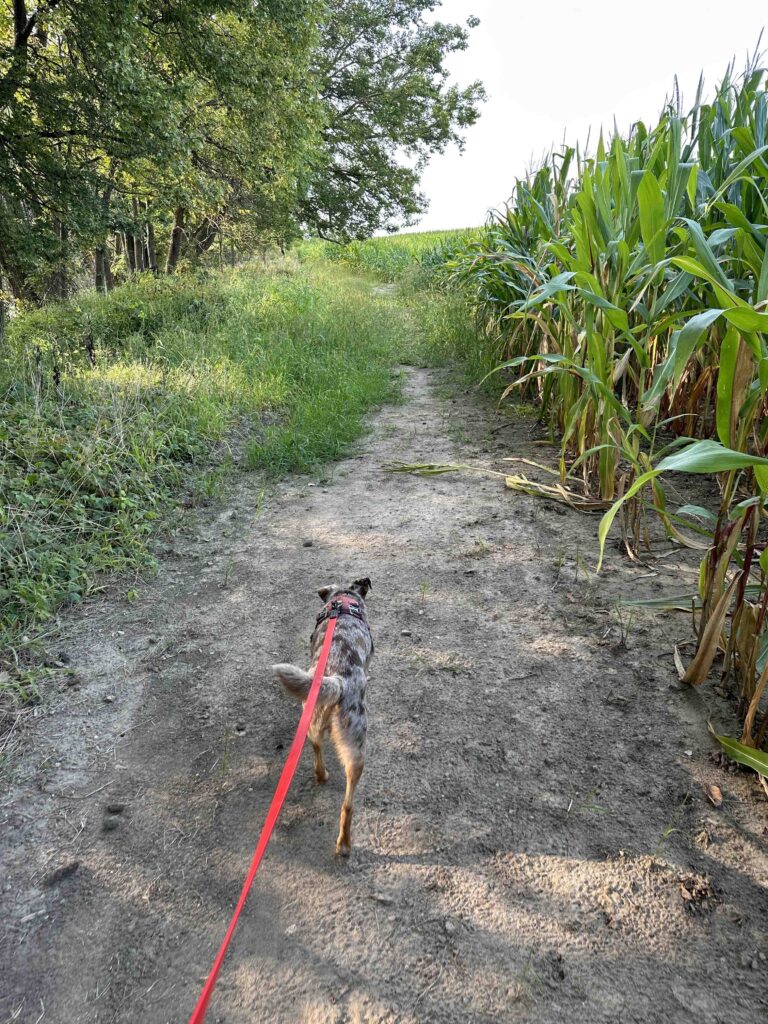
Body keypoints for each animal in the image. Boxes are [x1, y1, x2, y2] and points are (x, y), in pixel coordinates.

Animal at [272, 577, 374, 856]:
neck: (343, 601)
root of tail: (337, 678)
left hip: (312, 719)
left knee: (316, 749)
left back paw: (322, 775)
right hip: (357, 749)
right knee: (348, 805)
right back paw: (345, 845)